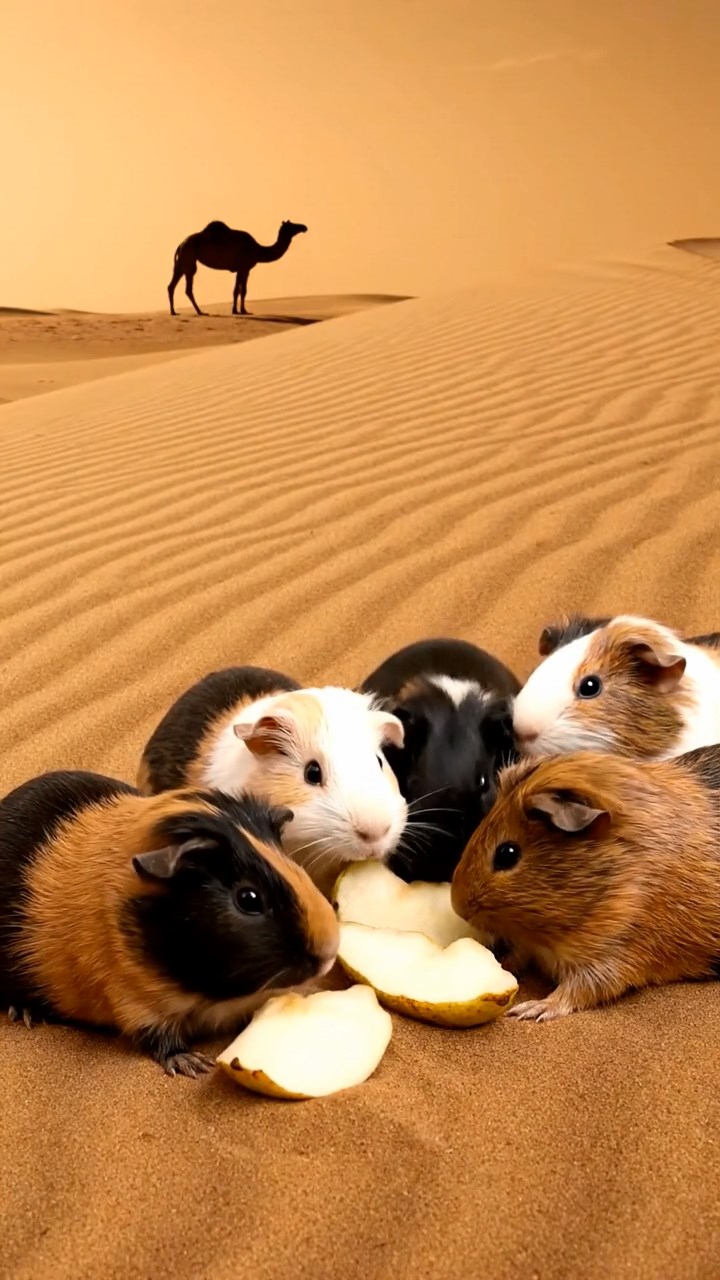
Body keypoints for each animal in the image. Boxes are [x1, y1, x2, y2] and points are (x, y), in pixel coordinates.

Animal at [167, 219, 308, 317]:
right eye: (291, 225)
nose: (304, 227)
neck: (257, 250)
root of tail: (180, 244)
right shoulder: (244, 268)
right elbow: (241, 290)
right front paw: (239, 310)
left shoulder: (243, 269)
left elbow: (239, 290)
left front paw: (240, 310)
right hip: (189, 258)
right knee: (188, 288)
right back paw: (200, 312)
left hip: (182, 262)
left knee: (172, 286)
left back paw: (174, 312)